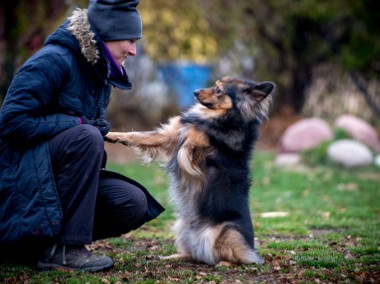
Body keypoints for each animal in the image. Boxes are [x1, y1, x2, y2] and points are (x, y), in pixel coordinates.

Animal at [105, 76, 274, 266]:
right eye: (214, 85)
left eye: (218, 90)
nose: (195, 92)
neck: (222, 116)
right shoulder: (170, 135)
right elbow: (139, 135)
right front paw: (112, 135)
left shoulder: (196, 151)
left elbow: (187, 148)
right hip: (182, 227)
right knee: (194, 255)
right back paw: (172, 257)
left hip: (225, 233)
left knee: (236, 258)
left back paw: (224, 263)